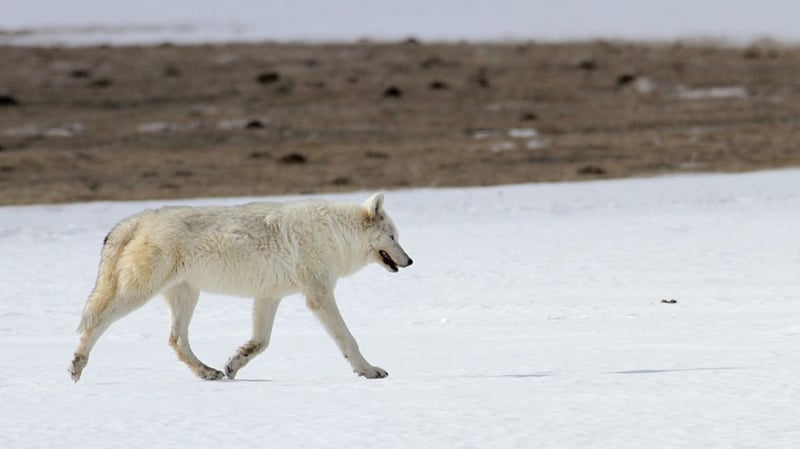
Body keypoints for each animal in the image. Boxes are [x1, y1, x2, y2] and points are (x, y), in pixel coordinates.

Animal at [69, 192, 412, 382]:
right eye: (393, 237)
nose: (410, 261)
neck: (335, 234)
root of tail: (136, 219)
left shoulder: (269, 297)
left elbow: (260, 342)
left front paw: (234, 364)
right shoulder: (319, 296)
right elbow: (348, 340)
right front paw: (369, 371)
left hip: (186, 296)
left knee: (176, 340)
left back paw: (208, 372)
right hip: (138, 294)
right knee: (96, 322)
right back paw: (76, 366)